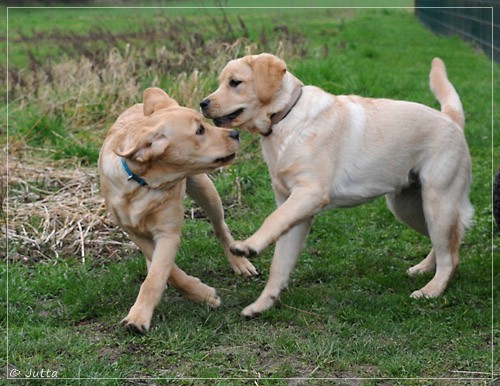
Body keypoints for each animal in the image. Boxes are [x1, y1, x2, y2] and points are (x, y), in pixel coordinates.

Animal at [98, 87, 258, 332]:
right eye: (200, 130)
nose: (234, 134)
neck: (144, 183)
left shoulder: (168, 232)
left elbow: (157, 277)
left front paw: (138, 317)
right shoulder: (134, 232)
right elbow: (167, 271)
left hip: (204, 188)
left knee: (220, 227)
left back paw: (240, 263)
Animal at [200, 53, 472, 316]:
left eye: (235, 82)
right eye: (221, 82)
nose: (203, 103)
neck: (285, 121)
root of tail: (450, 118)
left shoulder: (310, 194)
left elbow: (272, 220)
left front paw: (248, 246)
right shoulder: (295, 209)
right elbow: (280, 263)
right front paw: (262, 304)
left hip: (437, 204)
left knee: (450, 254)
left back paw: (431, 290)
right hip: (409, 209)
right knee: (449, 244)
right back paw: (424, 270)